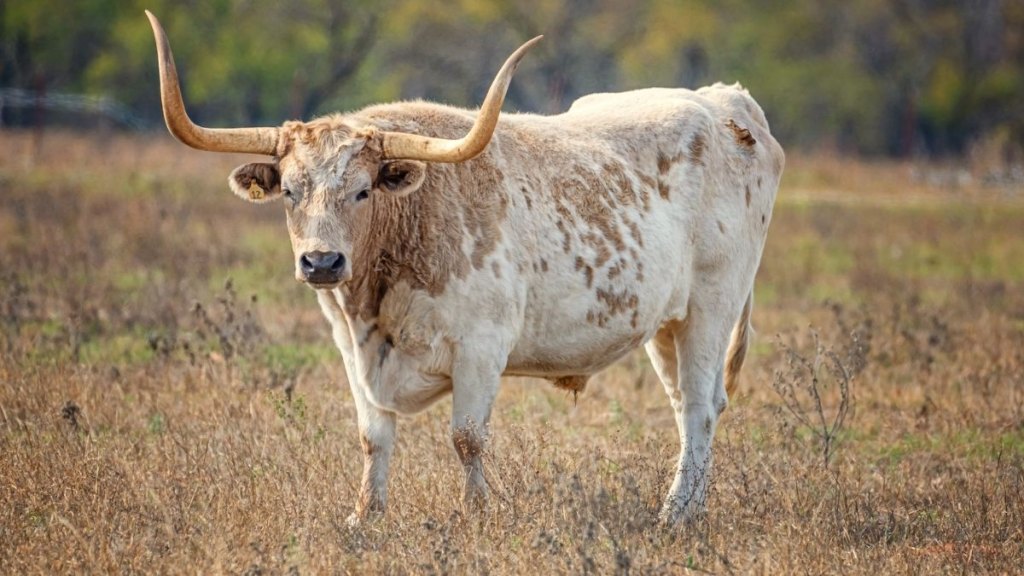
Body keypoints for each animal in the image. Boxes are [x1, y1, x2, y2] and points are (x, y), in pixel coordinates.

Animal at [146, 11, 784, 526]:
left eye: (362, 191)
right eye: (290, 192)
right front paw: (364, 519)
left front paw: (476, 515)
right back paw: (685, 506)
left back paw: (675, 514)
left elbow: (467, 438)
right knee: (683, 405)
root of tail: (727, 100)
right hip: (665, 325)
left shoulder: (481, 346)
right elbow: (373, 439)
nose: (321, 261)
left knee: (701, 406)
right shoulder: (352, 349)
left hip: (713, 306)